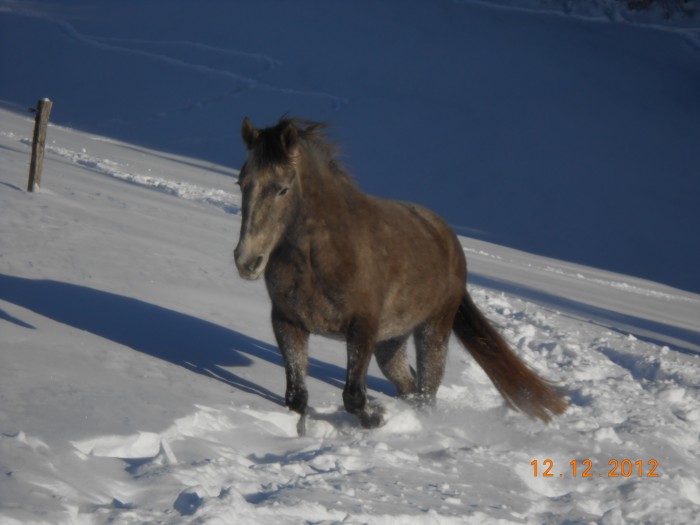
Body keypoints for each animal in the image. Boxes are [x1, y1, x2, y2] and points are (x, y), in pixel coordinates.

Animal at [232, 115, 568, 430]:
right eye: (241, 183)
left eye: (282, 189)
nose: (247, 261)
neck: (318, 259)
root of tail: (448, 240)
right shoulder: (287, 323)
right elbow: (296, 397)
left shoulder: (362, 328)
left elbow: (353, 397)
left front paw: (376, 418)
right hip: (391, 342)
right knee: (409, 384)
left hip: (432, 330)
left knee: (426, 390)